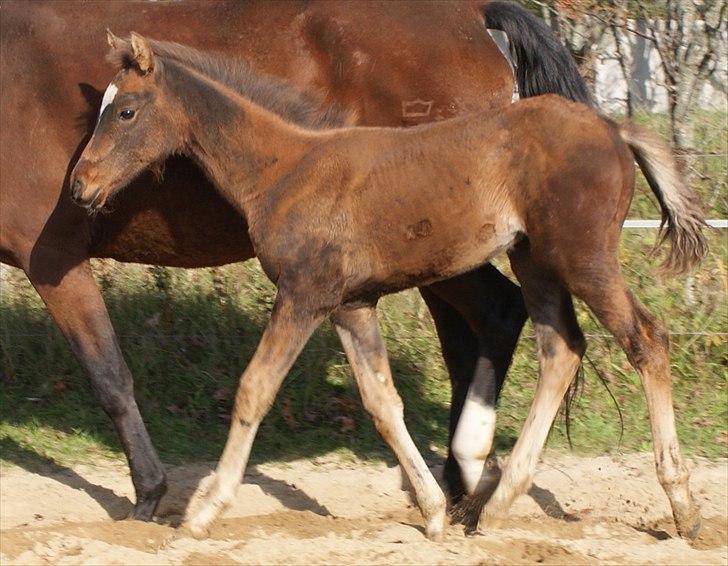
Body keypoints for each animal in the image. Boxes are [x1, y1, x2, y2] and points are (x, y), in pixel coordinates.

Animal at [0, 1, 592, 524]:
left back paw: (469, 477)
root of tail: (473, 15)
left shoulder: (52, 258)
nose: (79, 187)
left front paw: (152, 496)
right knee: (478, 329)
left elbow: (111, 377)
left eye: (125, 112)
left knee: (499, 313)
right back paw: (460, 485)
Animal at [69, 34, 704, 540]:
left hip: (584, 258)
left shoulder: (303, 295)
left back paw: (682, 506)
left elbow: (254, 389)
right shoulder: (351, 305)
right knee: (562, 350)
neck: (287, 168)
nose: (80, 186)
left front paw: (203, 511)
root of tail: (613, 127)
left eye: (125, 111)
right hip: (537, 263)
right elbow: (382, 403)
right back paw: (497, 506)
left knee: (647, 340)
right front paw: (433, 511)